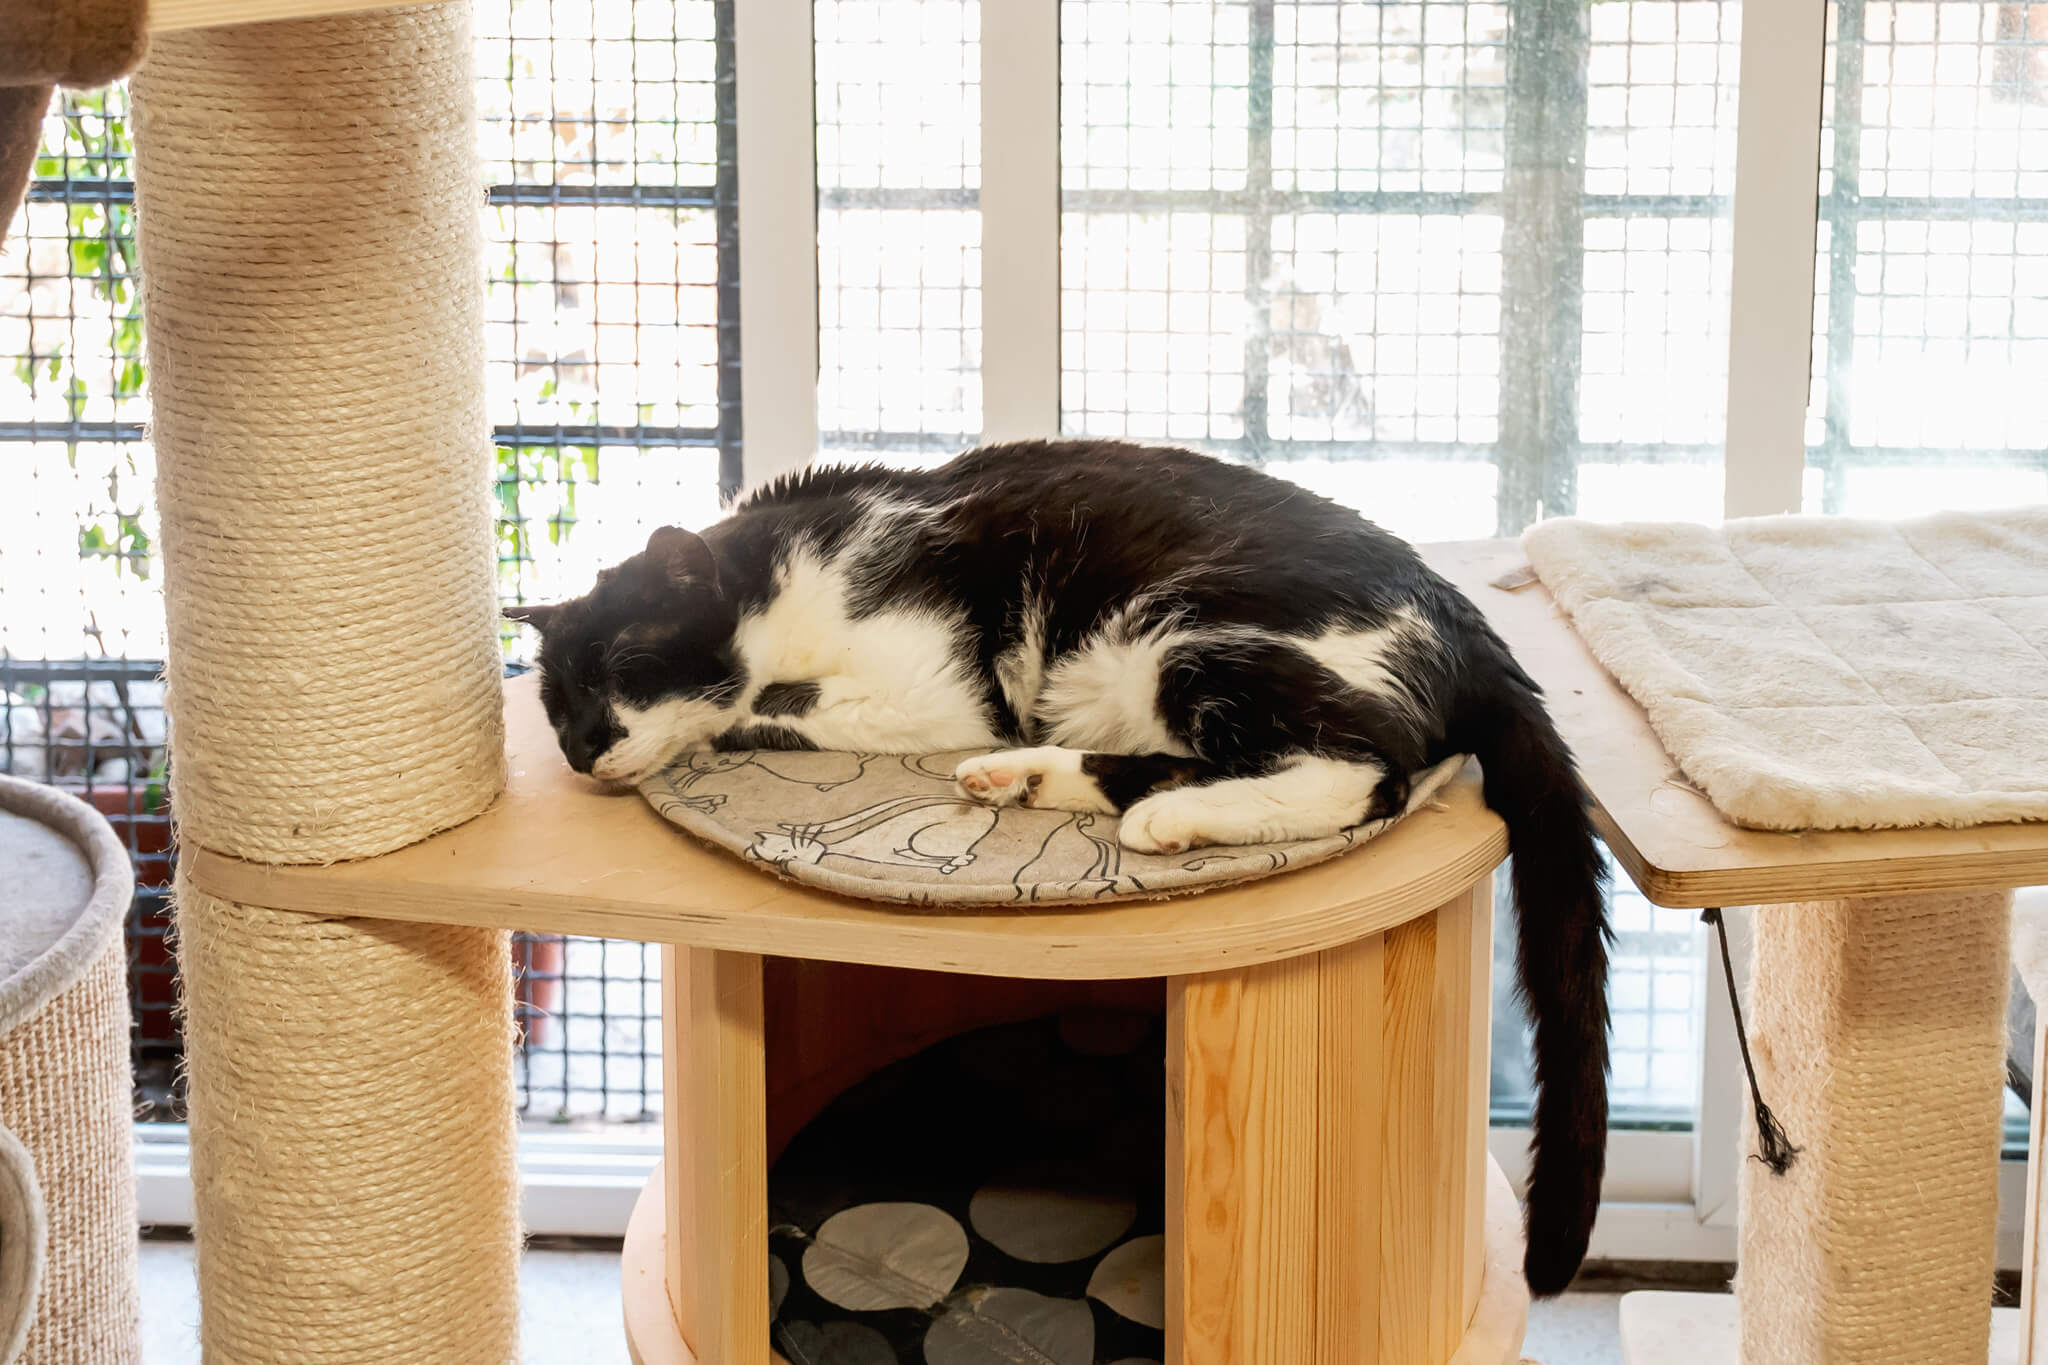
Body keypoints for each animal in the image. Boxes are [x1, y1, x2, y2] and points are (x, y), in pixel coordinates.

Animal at [507, 444, 1597, 1301]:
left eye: (629, 664)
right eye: (556, 705)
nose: (584, 748)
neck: (789, 574)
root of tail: (1468, 629)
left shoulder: (934, 687)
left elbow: (767, 704)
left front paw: (734, 715)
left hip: (1183, 626)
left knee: (1372, 767)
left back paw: (1162, 816)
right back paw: (1025, 777)